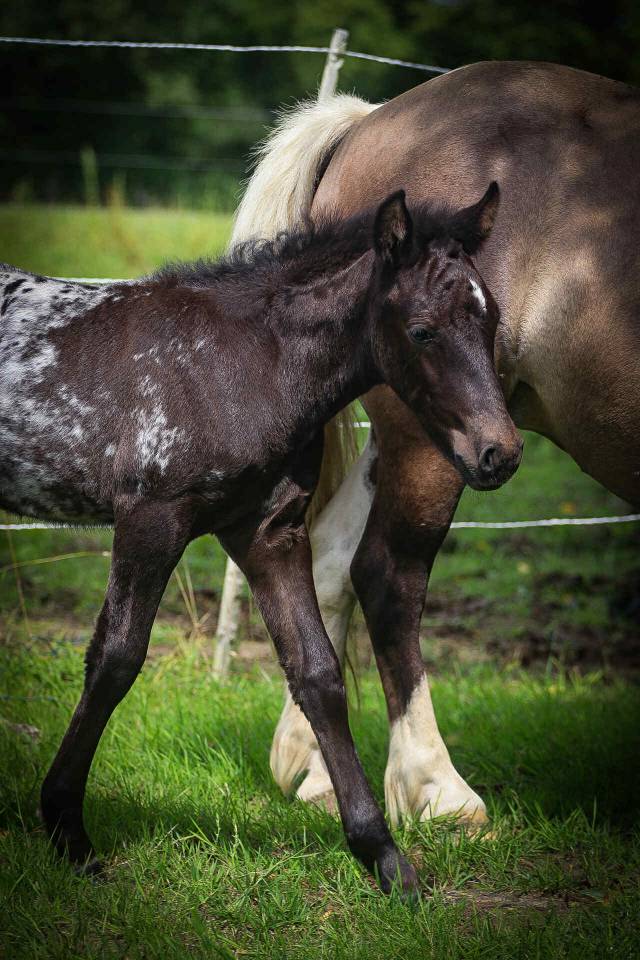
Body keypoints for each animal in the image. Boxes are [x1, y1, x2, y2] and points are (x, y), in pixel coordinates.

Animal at [0, 189, 522, 895]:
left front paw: (385, 860)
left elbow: (318, 672)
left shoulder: (266, 532)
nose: (500, 454)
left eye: (491, 321)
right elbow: (114, 661)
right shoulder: (149, 519)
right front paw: (69, 835)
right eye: (422, 331)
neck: (241, 364)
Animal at [232, 60, 640, 828]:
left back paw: (317, 775)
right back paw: (437, 789)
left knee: (329, 561)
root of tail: (369, 119)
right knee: (386, 574)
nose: (503, 455)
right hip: (429, 440)